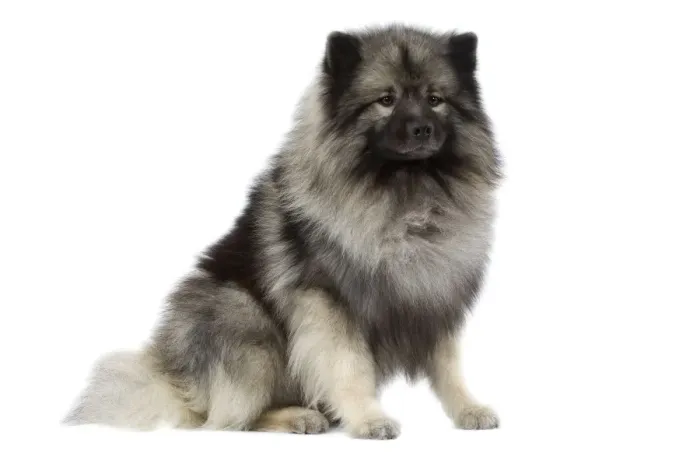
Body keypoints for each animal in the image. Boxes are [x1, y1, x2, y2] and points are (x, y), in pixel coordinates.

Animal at [64, 24, 503, 440]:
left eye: (435, 99)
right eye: (386, 100)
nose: (422, 129)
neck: (406, 191)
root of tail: (175, 377)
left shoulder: (435, 290)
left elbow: (448, 366)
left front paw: (468, 409)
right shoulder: (328, 302)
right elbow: (349, 366)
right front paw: (369, 419)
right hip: (243, 319)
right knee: (226, 419)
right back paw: (297, 416)